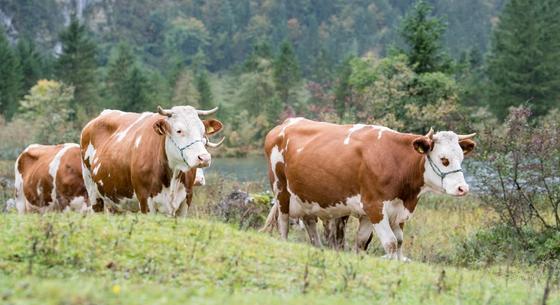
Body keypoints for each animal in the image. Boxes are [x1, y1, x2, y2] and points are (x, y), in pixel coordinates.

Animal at [80, 105, 224, 215]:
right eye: (179, 130)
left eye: (203, 131)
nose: (204, 158)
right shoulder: (145, 201)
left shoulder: (185, 201)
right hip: (92, 192)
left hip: (113, 200)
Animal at [260, 117, 474, 260]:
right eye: (444, 159)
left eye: (461, 158)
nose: (463, 188)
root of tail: (286, 123)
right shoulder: (375, 208)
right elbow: (391, 243)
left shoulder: (389, 213)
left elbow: (380, 243)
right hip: (281, 192)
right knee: (283, 225)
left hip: (308, 200)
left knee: (311, 226)